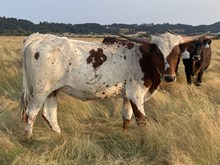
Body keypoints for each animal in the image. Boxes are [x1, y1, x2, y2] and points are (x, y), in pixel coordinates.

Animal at [20, 31, 208, 137]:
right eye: (157, 53)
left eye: (176, 53)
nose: (169, 77)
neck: (141, 59)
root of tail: (38, 37)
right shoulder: (136, 95)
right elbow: (142, 121)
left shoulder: (127, 96)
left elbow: (126, 117)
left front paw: (124, 134)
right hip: (40, 91)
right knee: (31, 113)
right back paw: (29, 139)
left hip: (53, 89)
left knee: (49, 113)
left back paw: (59, 137)